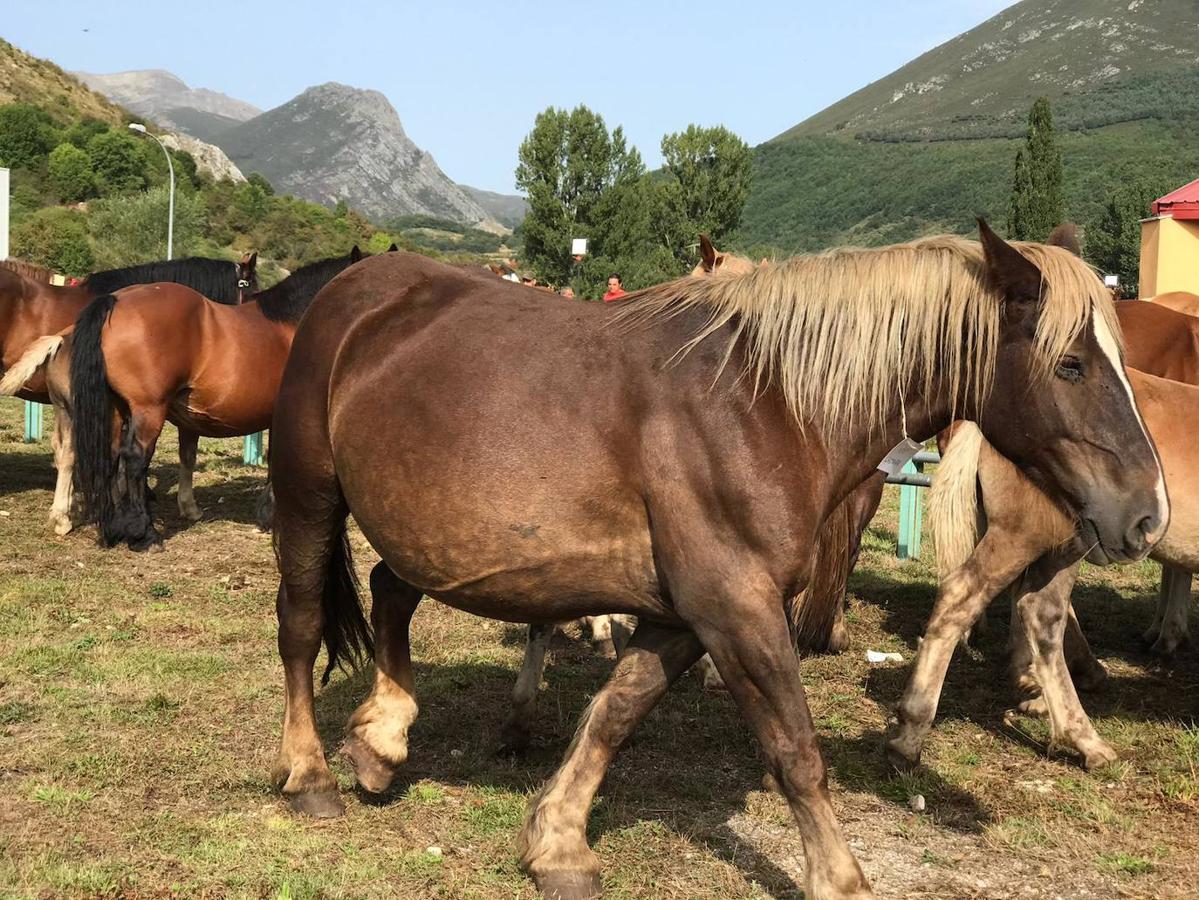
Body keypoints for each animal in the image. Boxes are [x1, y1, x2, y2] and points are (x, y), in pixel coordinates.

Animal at [267, 224, 1165, 900]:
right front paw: (839, 877)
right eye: (1069, 363)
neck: (766, 405)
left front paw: (556, 843)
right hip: (310, 499)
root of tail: (354, 285)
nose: (1146, 516)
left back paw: (382, 742)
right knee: (302, 626)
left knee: (389, 590)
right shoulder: (735, 610)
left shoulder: (681, 616)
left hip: (423, 529)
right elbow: (796, 752)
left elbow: (614, 714)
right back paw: (311, 775)